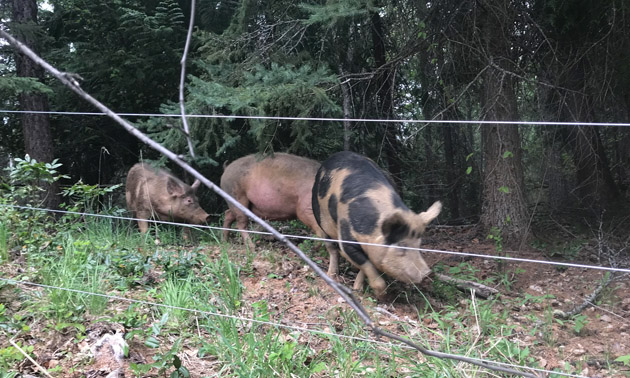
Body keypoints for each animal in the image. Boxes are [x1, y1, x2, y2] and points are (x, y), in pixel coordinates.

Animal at [312, 151, 442, 298]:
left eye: (419, 244)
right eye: (401, 245)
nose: (427, 274)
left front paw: (359, 289)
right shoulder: (346, 238)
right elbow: (365, 263)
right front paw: (382, 294)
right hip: (320, 219)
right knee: (332, 249)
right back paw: (331, 275)